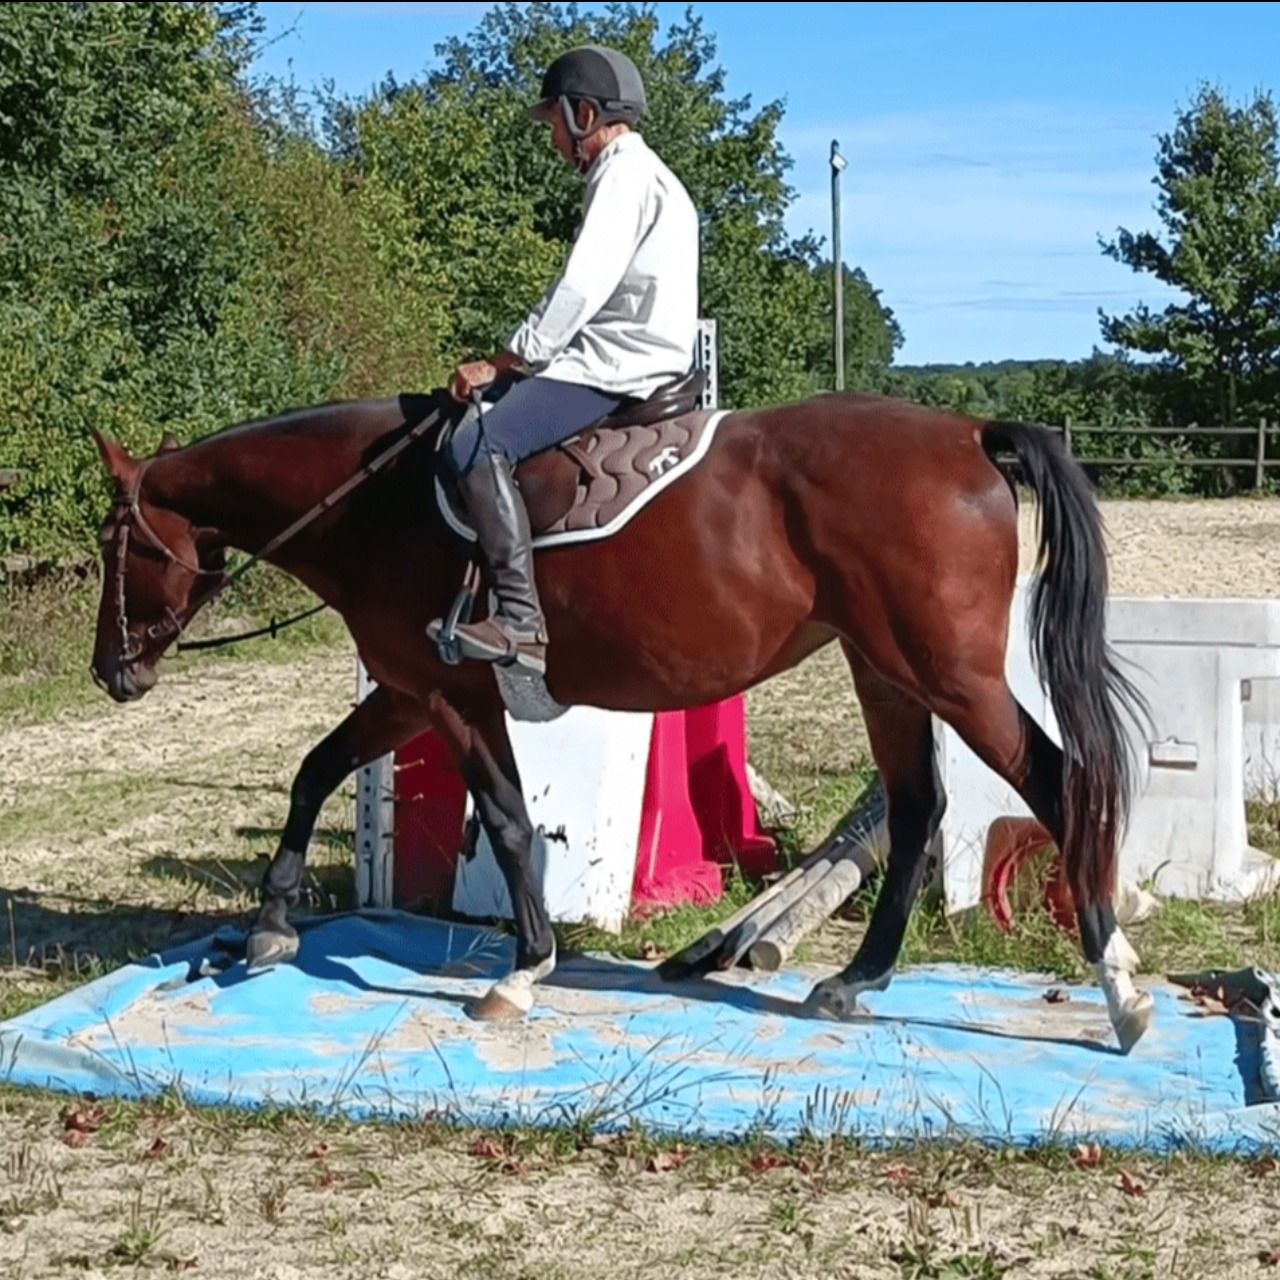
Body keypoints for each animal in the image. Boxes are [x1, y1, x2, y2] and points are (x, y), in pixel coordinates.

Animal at [87, 386, 1152, 1049]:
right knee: (921, 804)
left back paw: (1121, 988)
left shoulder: (452, 695)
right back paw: (855, 981)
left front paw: (523, 971)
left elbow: (508, 821)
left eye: (114, 543)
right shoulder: (405, 692)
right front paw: (269, 927)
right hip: (886, 671)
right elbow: (316, 770)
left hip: (950, 675)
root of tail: (966, 433)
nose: (109, 672)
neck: (373, 503)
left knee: (1057, 781)